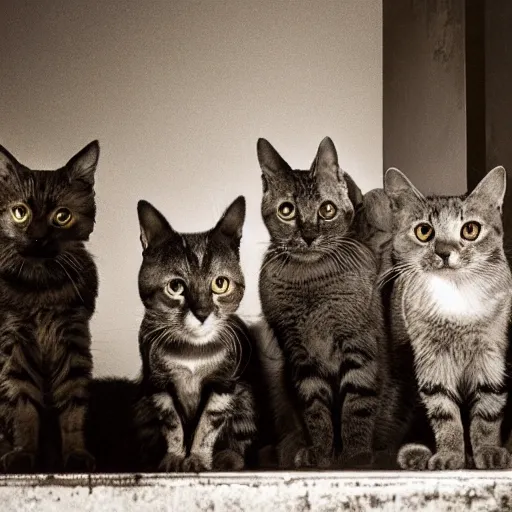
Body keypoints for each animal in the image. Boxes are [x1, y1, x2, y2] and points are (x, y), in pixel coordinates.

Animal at [0, 140, 101, 472]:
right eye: (20, 213)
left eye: (62, 216)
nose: (38, 238)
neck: (40, 287)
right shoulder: (14, 342)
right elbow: (22, 405)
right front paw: (23, 454)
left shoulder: (73, 338)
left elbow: (72, 406)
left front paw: (76, 454)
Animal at [135, 196, 258, 472]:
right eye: (175, 287)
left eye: (220, 284)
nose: (202, 313)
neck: (192, 351)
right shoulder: (158, 384)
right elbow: (172, 423)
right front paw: (174, 457)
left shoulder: (224, 383)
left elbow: (207, 424)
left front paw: (198, 458)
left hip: (245, 397)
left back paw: (228, 457)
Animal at [256, 136, 396, 468]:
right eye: (286, 210)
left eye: (327, 209)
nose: (308, 235)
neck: (311, 283)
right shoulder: (299, 356)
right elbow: (315, 409)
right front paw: (321, 452)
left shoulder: (359, 345)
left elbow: (356, 405)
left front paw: (355, 456)